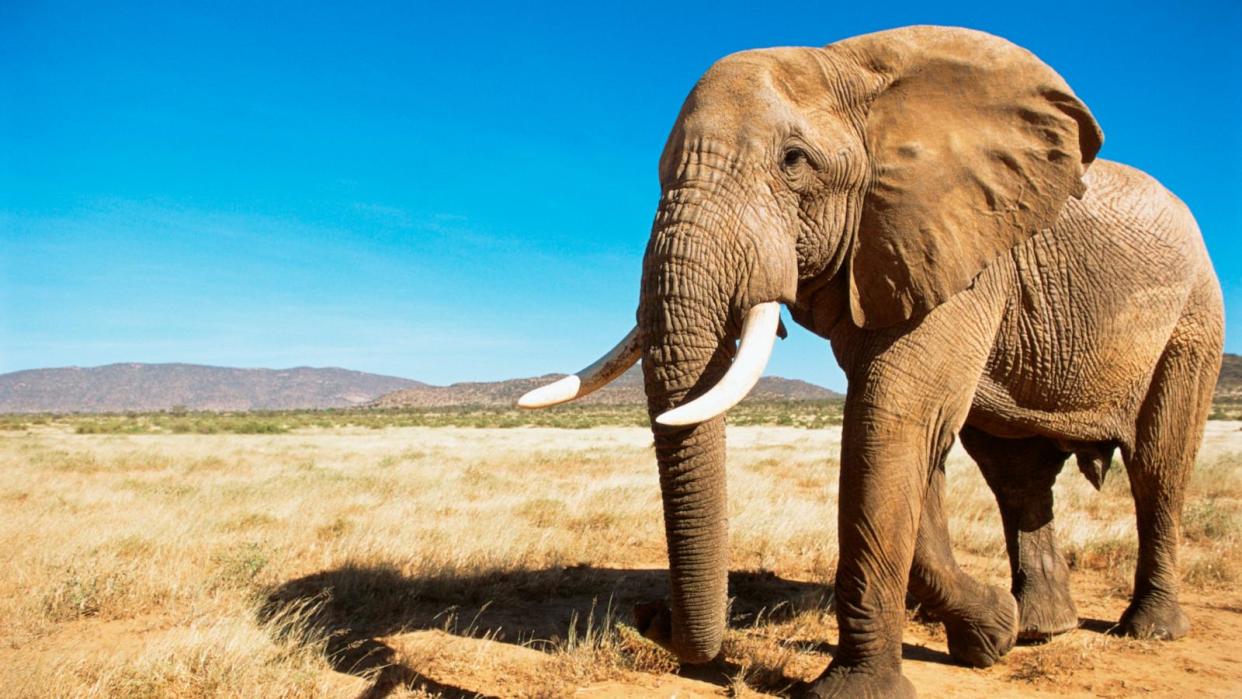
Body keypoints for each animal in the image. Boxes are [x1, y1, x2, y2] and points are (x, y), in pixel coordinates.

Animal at [514, 24, 1222, 695]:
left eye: (794, 162)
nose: (648, 616)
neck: (851, 65)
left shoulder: (955, 248)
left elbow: (892, 421)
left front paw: (859, 689)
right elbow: (908, 438)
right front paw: (990, 634)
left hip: (1193, 320)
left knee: (1158, 465)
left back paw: (1148, 631)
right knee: (1016, 475)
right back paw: (1042, 630)